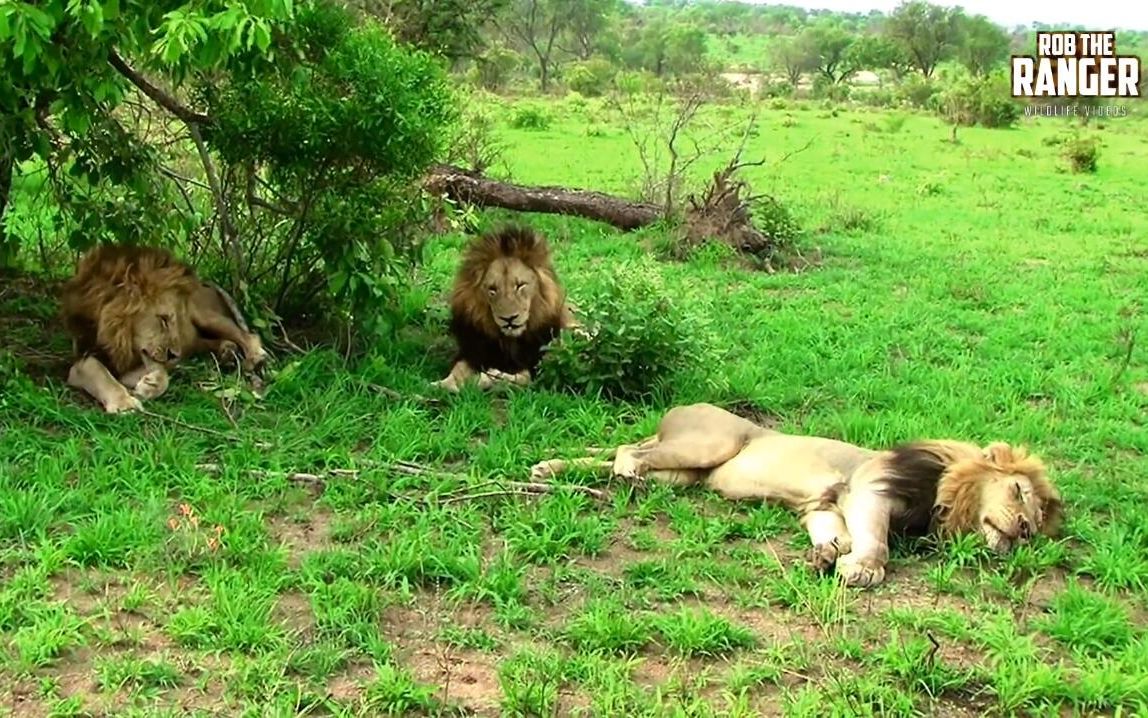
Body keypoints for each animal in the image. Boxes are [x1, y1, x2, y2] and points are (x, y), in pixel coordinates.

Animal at [61, 242, 269, 413]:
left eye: (168, 319)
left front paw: (148, 386)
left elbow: (162, 374)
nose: (173, 355)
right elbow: (103, 375)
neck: (118, 339)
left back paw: (256, 357)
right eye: (163, 319)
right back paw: (227, 351)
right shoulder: (82, 358)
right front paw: (125, 403)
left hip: (205, 316)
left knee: (247, 334)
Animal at [431, 224, 578, 392]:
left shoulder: (536, 366)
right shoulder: (473, 353)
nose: (509, 319)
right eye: (492, 289)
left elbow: (520, 377)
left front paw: (489, 378)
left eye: (520, 285)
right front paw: (442, 384)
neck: (509, 341)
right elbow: (458, 369)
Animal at [532, 399, 1060, 585]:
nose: (1024, 529)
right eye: (1018, 491)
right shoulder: (868, 490)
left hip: (685, 473)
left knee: (613, 459)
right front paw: (864, 570)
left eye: (1035, 527)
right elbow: (877, 543)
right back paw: (622, 471)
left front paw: (827, 555)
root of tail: (679, 409)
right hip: (711, 441)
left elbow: (836, 534)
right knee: (626, 448)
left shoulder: (824, 504)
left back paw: (548, 468)